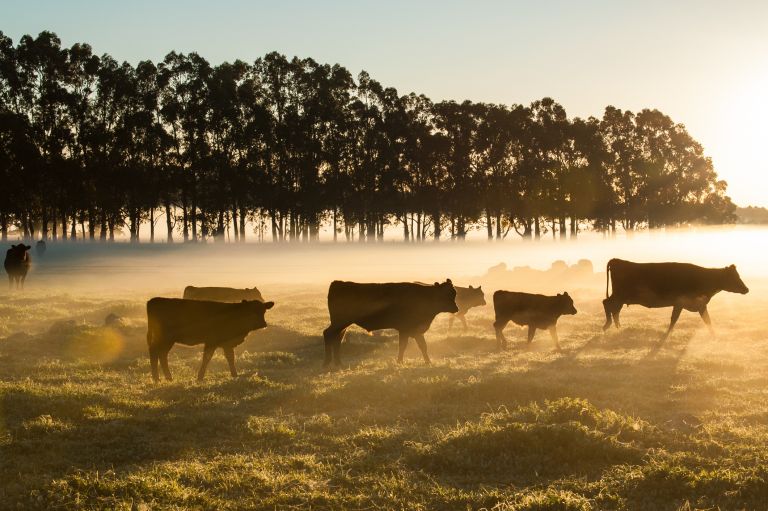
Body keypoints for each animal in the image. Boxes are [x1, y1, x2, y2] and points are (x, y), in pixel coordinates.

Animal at [146, 296, 274, 384]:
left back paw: (168, 378)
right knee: (155, 352)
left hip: (167, 340)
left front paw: (235, 375)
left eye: (264, 311)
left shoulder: (227, 343)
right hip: (165, 338)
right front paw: (200, 377)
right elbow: (207, 358)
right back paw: (157, 378)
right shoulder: (211, 341)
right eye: (251, 311)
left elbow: (230, 358)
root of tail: (153, 300)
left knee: (162, 354)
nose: (262, 324)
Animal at [322, 280, 460, 368]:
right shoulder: (406, 329)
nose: (456, 308)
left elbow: (420, 346)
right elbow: (406, 346)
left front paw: (427, 362)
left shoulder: (413, 331)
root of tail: (338, 283)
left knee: (338, 339)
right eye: (446, 294)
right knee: (328, 334)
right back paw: (327, 363)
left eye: (454, 293)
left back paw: (338, 363)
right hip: (339, 323)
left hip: (342, 325)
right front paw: (401, 362)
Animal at [604, 258, 748, 342]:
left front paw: (714, 336)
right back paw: (607, 325)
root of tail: (616, 260)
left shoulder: (698, 305)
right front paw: (667, 334)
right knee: (607, 304)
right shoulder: (682, 303)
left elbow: (707, 320)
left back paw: (618, 328)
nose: (746, 289)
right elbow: (675, 319)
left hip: (620, 298)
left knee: (614, 309)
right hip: (619, 295)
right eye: (734, 277)